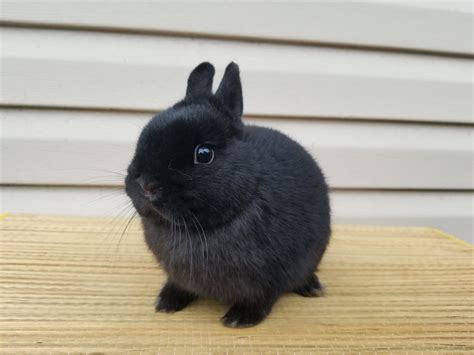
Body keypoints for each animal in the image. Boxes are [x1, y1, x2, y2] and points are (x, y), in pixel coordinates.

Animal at [125, 61, 330, 328]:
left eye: (203, 154)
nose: (147, 185)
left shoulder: (268, 278)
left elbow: (262, 299)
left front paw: (239, 319)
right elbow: (178, 285)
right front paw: (166, 303)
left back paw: (312, 288)